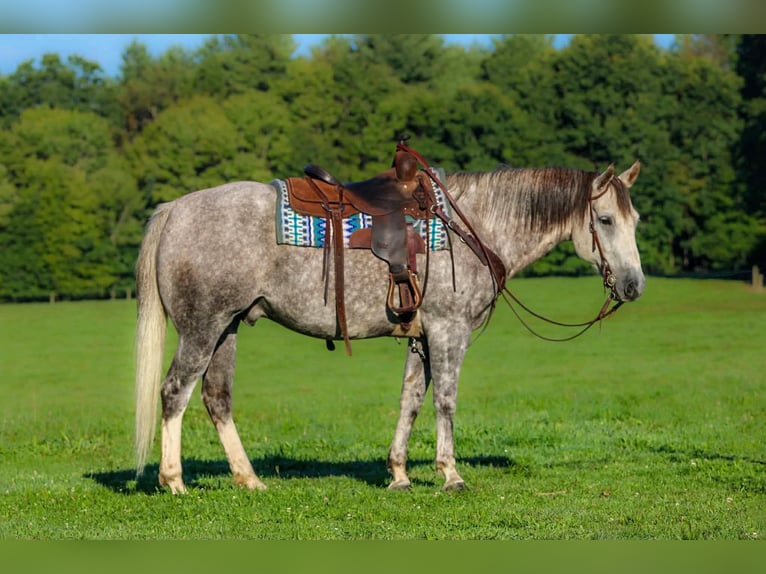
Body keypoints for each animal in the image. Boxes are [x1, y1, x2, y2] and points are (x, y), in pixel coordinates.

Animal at [134, 160, 644, 494]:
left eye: (635, 220)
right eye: (604, 219)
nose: (634, 285)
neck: (473, 228)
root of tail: (176, 208)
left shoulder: (421, 338)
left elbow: (410, 399)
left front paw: (398, 474)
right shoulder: (449, 332)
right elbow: (444, 401)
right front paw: (450, 474)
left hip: (229, 327)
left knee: (216, 398)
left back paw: (249, 479)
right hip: (203, 328)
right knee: (174, 393)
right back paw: (174, 482)